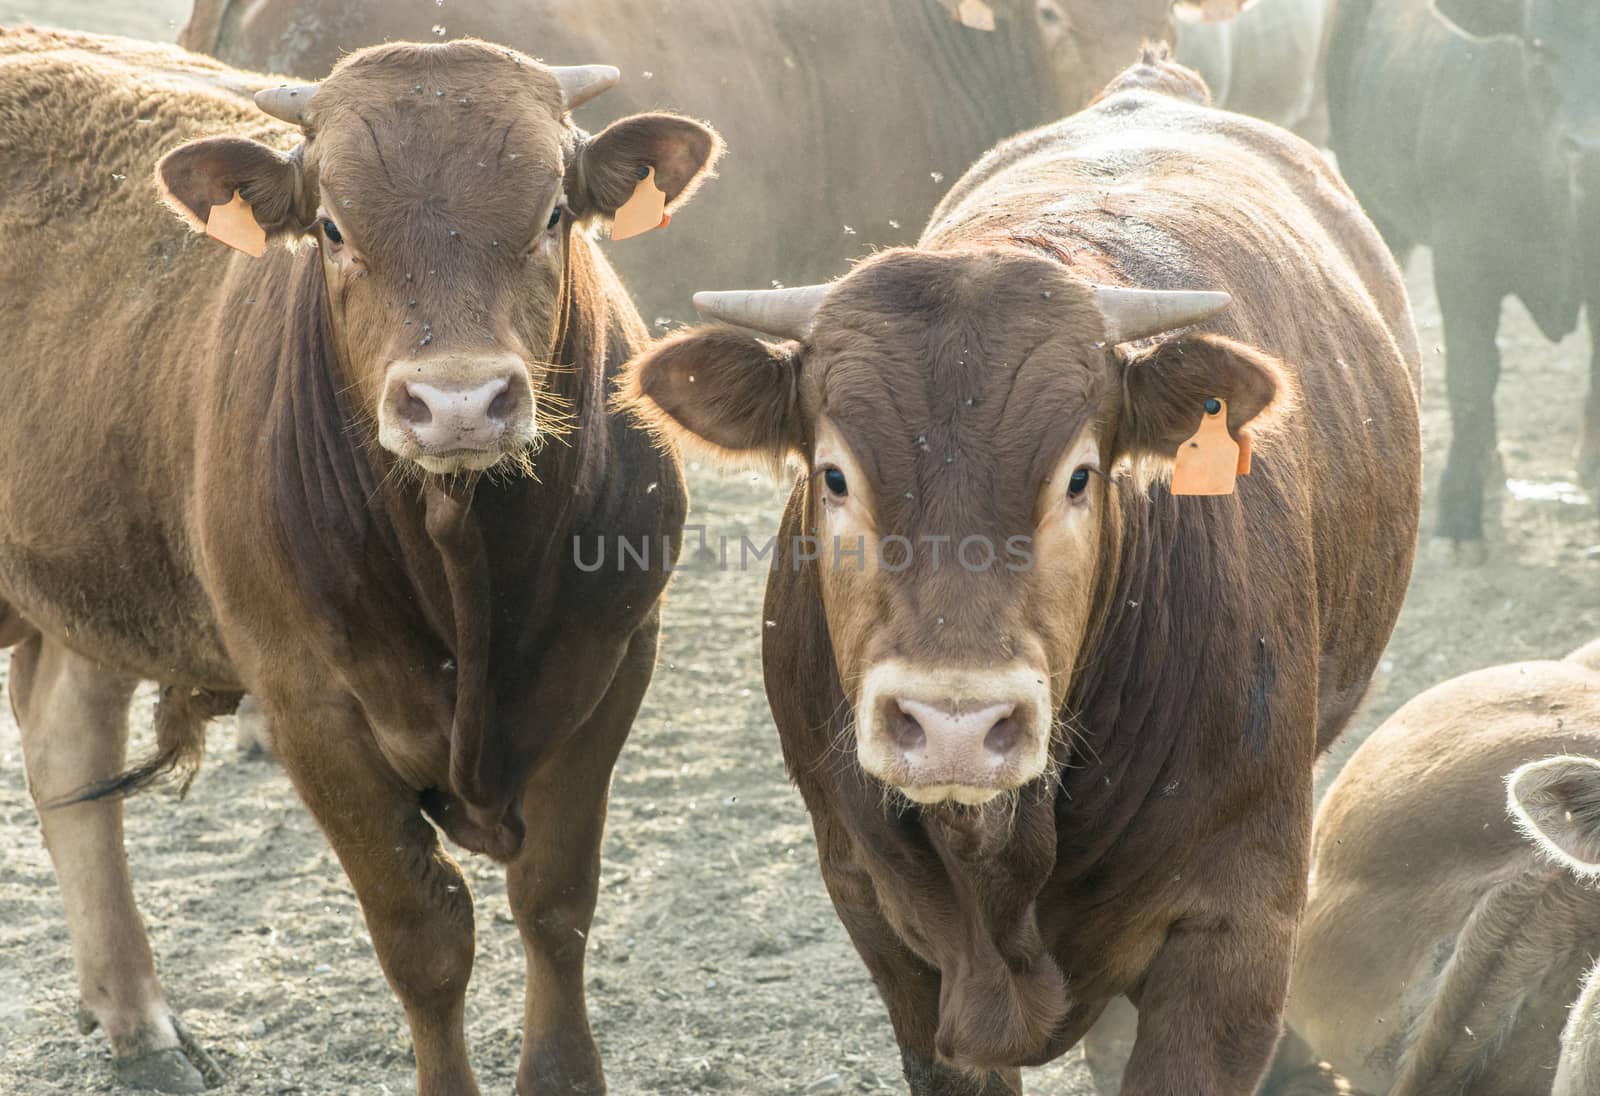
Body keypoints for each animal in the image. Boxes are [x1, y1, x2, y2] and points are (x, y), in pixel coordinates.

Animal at [0, 25, 716, 1094]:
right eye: (334, 229)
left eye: (554, 212)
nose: (458, 404)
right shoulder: (310, 709)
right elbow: (425, 936)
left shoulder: (614, 660)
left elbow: (555, 903)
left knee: (64, 734)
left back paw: (137, 1023)